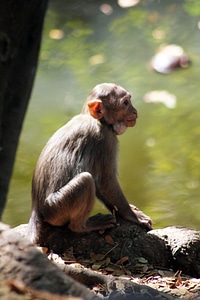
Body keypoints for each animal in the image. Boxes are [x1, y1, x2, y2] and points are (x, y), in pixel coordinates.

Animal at [27, 82, 152, 244]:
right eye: (125, 103)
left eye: (129, 101)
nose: (135, 111)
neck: (93, 118)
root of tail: (36, 208)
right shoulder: (106, 139)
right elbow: (106, 181)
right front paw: (132, 216)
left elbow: (99, 183)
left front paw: (118, 210)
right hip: (56, 208)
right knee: (85, 181)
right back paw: (82, 226)